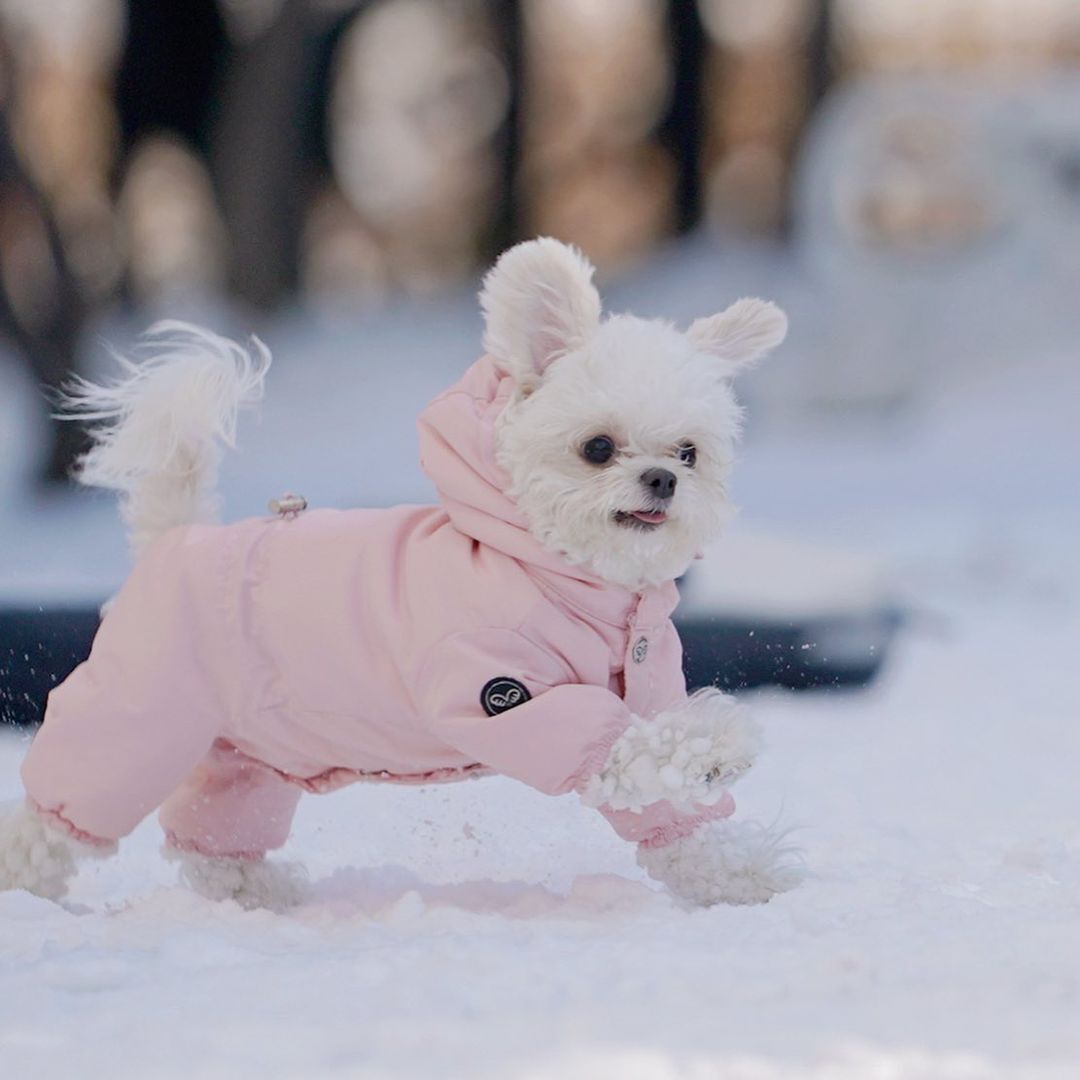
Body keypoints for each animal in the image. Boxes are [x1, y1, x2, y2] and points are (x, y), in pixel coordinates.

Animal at [2, 240, 803, 907]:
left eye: (690, 452)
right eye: (598, 448)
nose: (663, 479)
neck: (567, 577)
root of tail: (176, 538)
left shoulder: (644, 690)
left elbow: (672, 810)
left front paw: (742, 876)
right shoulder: (504, 694)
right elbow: (628, 744)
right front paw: (718, 746)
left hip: (245, 750)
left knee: (212, 839)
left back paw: (261, 897)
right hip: (138, 717)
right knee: (54, 816)